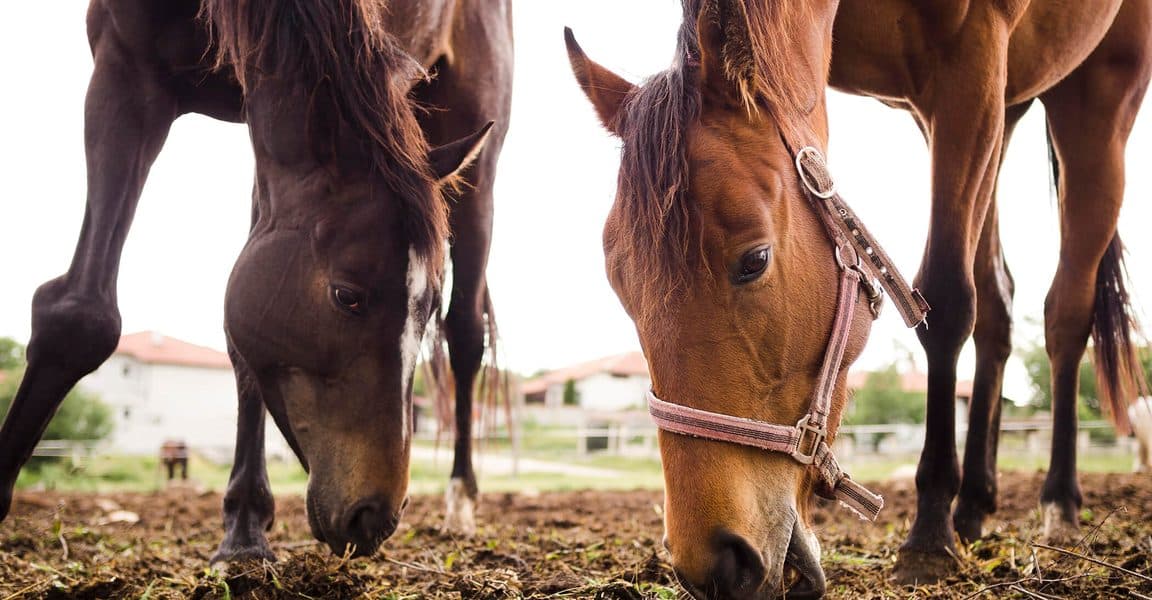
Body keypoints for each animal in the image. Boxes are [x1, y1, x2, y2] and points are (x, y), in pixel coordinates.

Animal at [0, 0, 512, 563]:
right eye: (347, 296)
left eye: (425, 308)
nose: (375, 517)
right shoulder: (128, 68)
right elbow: (80, 318)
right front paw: (244, 526)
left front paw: (246, 527)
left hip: (477, 159)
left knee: (466, 336)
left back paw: (460, 500)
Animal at [567, 0, 1150, 596]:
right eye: (618, 285)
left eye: (754, 260)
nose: (715, 566)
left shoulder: (972, 54)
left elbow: (944, 302)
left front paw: (929, 533)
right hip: (1001, 110)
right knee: (998, 306)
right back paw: (973, 507)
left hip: (1096, 101)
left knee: (1065, 316)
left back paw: (1058, 502)